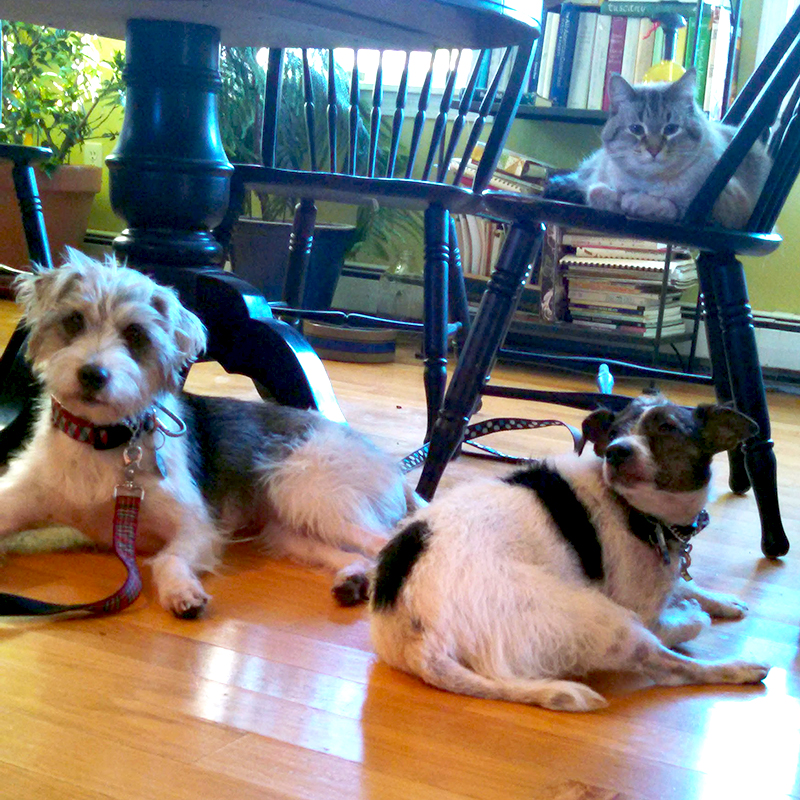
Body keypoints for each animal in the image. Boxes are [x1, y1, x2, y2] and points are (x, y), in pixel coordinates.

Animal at [0, 253, 412, 616]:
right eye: (73, 321)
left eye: (136, 334)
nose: (92, 374)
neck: (100, 439)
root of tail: (383, 459)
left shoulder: (196, 526)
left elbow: (167, 559)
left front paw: (181, 590)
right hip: (290, 529)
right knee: (356, 553)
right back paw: (353, 578)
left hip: (303, 490)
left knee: (382, 541)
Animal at [372, 390, 772, 708]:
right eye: (614, 434)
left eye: (668, 427)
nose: (616, 452)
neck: (639, 513)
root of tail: (421, 640)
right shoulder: (643, 612)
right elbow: (677, 621)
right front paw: (693, 612)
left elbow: (684, 583)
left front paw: (719, 600)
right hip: (606, 621)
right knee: (672, 668)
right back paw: (739, 667)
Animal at [548, 68, 772, 228]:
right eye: (637, 129)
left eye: (671, 129)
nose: (654, 150)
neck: (649, 183)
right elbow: (597, 192)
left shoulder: (723, 209)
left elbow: (670, 207)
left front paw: (635, 202)